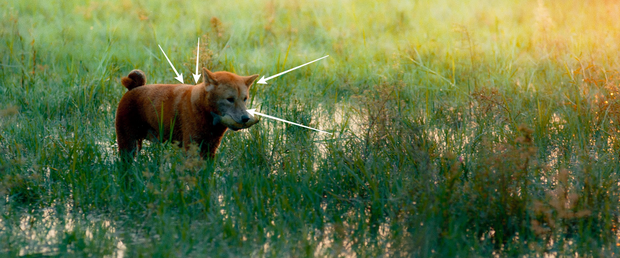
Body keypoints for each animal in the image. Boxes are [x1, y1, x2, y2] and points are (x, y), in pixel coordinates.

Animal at [115, 68, 260, 159]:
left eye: (245, 99)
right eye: (230, 99)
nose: (246, 118)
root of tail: (134, 88)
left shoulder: (210, 148)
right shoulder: (191, 147)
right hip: (127, 144)